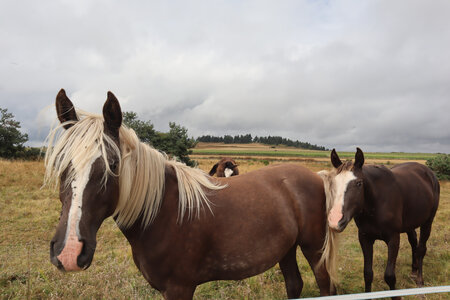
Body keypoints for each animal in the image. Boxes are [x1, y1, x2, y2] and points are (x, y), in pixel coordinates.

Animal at [45, 89, 340, 300]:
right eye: (60, 163)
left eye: (114, 165)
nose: (69, 252)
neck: (163, 212)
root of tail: (316, 176)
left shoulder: (179, 288)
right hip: (287, 248)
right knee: (294, 284)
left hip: (313, 248)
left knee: (325, 286)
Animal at [318, 148, 442, 298]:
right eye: (333, 184)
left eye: (359, 183)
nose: (335, 220)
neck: (376, 202)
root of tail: (429, 173)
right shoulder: (365, 238)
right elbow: (367, 274)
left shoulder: (393, 238)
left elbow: (389, 276)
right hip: (409, 224)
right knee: (414, 242)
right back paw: (413, 271)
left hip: (427, 222)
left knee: (421, 249)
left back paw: (419, 282)